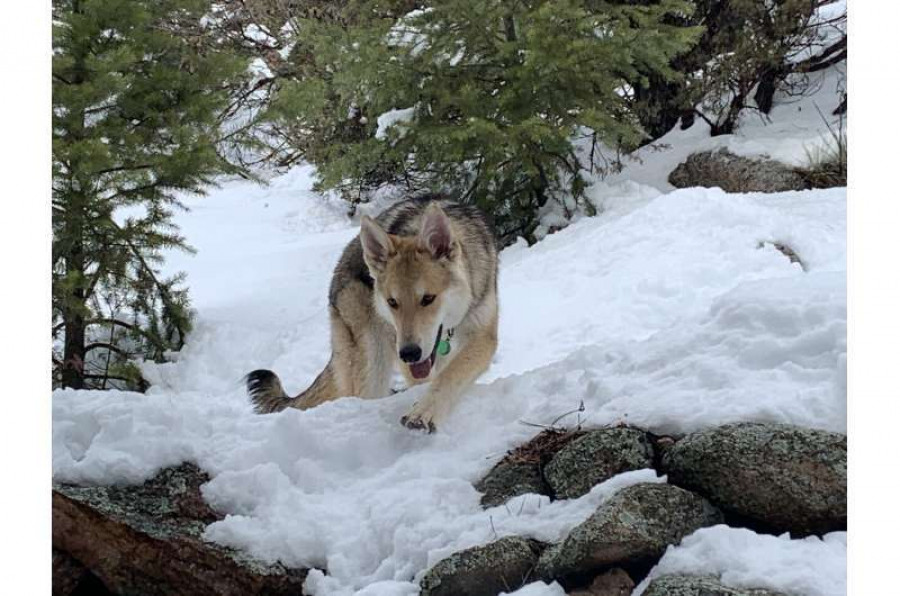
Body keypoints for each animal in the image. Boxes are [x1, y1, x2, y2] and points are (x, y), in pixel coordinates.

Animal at [246, 197, 500, 434]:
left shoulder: (482, 336)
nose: (409, 353)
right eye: (392, 302)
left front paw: (425, 411)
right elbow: (430, 380)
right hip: (372, 362)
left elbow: (450, 375)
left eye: (428, 298)